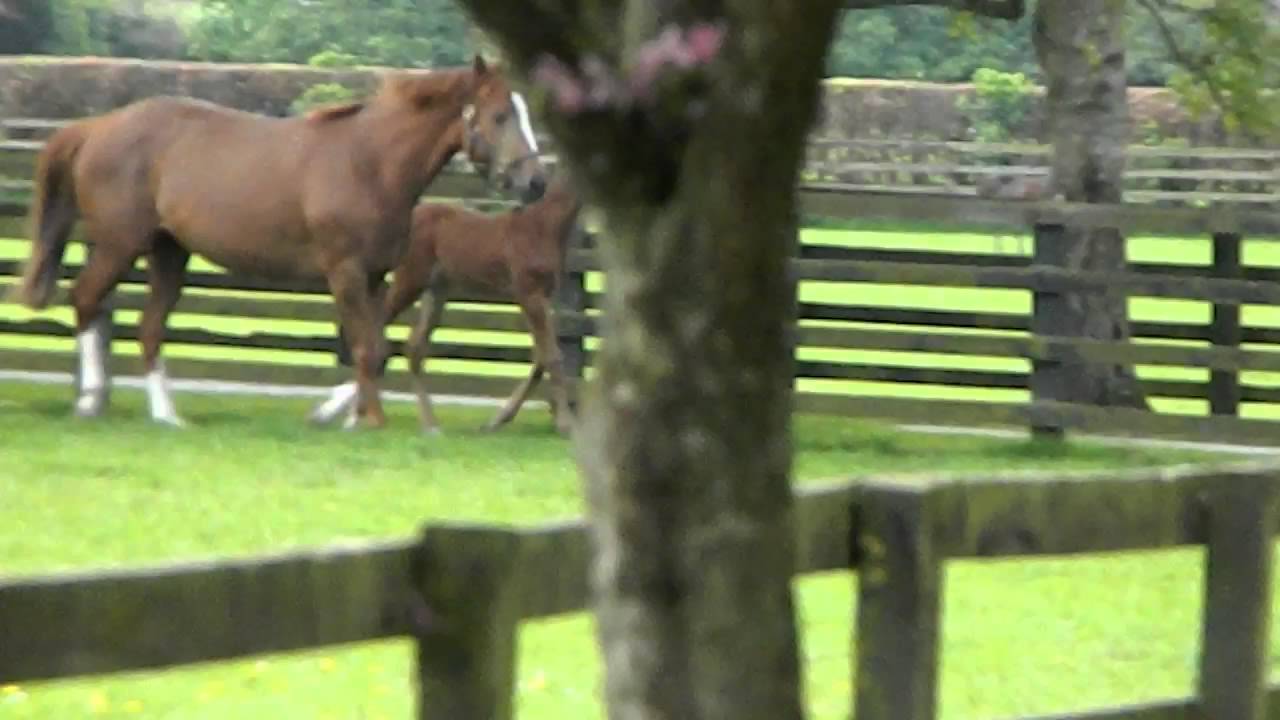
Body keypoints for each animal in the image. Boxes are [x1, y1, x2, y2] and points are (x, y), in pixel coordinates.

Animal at [10, 55, 549, 430]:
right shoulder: (345, 272)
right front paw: (367, 421)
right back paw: (90, 400)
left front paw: (344, 415)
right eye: (500, 115)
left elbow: (376, 349)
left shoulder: (375, 276)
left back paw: (167, 416)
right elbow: (366, 346)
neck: (369, 162)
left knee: (148, 327)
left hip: (169, 252)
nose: (536, 183)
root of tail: (96, 126)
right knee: (86, 299)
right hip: (119, 244)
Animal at [309, 172, 584, 436]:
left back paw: (429, 424)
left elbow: (540, 357)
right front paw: (567, 426)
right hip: (410, 281)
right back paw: (345, 413)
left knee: (413, 347)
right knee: (374, 334)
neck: (544, 227)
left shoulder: (542, 297)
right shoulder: (529, 294)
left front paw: (495, 421)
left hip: (436, 290)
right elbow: (552, 356)